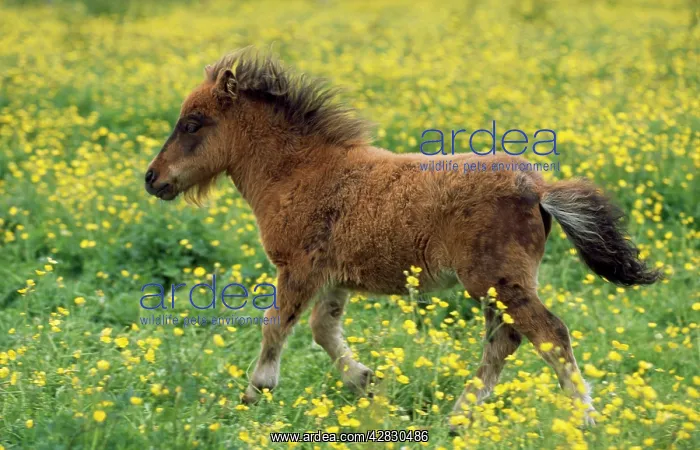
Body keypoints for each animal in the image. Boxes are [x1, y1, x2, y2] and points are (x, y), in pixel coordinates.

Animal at [144, 47, 660, 428]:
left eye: (192, 123)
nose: (152, 179)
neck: (300, 172)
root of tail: (537, 187)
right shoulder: (333, 277)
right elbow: (323, 329)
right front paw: (367, 382)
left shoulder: (298, 267)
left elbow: (276, 325)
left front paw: (256, 393)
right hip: (498, 286)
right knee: (506, 339)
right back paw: (457, 419)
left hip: (496, 280)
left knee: (547, 333)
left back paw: (587, 420)